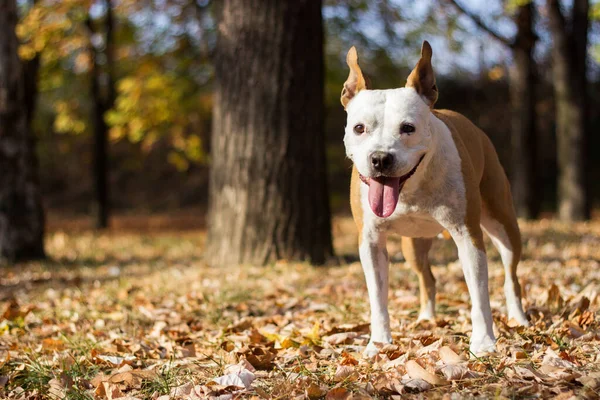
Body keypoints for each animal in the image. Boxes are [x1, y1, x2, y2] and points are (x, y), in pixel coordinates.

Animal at [342, 42, 528, 358]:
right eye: (359, 128)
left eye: (408, 128)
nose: (380, 158)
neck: (412, 187)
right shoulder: (371, 242)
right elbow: (378, 298)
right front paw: (378, 343)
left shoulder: (468, 235)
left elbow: (479, 294)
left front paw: (483, 342)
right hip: (413, 247)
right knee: (427, 278)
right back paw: (427, 318)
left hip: (504, 225)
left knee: (510, 276)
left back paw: (519, 318)